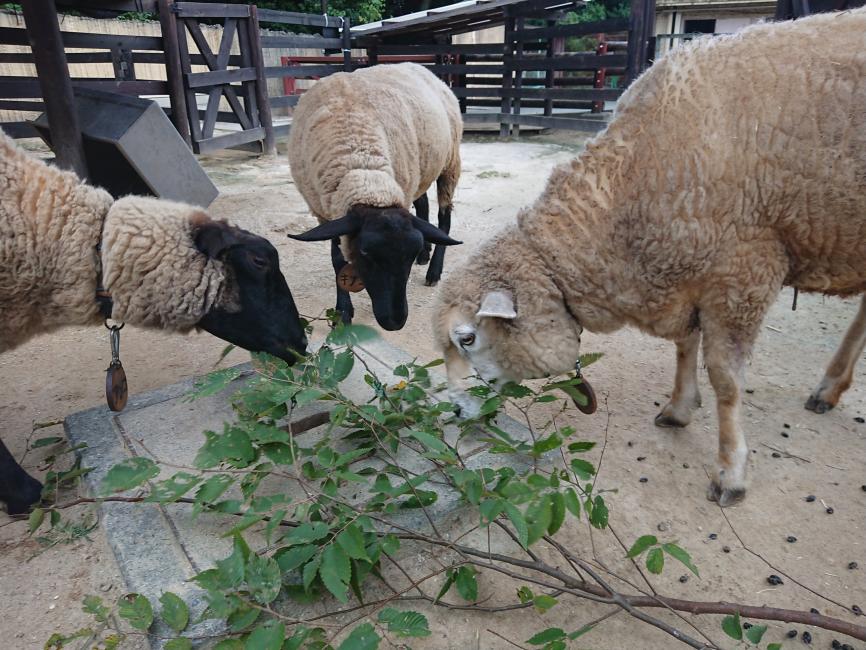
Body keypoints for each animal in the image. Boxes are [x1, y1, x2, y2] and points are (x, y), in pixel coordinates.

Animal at [286, 60, 462, 330]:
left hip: (449, 163)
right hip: (419, 170)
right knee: (423, 206)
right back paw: (426, 255)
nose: (395, 321)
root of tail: (421, 67)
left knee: (444, 218)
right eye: (366, 253)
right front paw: (343, 311)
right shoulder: (325, 213)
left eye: (408, 256)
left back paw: (433, 271)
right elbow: (337, 260)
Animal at [436, 7, 864, 506]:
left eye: (467, 338)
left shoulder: (742, 273)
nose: (456, 410)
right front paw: (680, 407)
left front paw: (731, 472)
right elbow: (684, 345)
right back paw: (830, 388)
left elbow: (727, 381)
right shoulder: (687, 265)